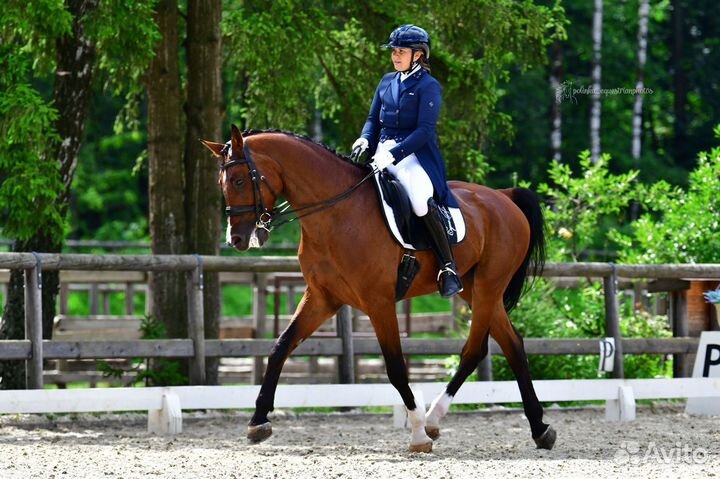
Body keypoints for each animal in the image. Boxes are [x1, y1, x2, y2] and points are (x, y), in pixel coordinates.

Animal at [202, 124, 556, 454]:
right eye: (220, 184)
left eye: (238, 181)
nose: (236, 239)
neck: (335, 215)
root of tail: (504, 196)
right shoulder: (322, 298)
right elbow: (280, 347)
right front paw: (258, 422)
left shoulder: (379, 302)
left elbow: (396, 368)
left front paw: (417, 434)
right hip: (476, 290)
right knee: (512, 344)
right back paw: (540, 429)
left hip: (486, 287)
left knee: (474, 350)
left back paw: (433, 420)